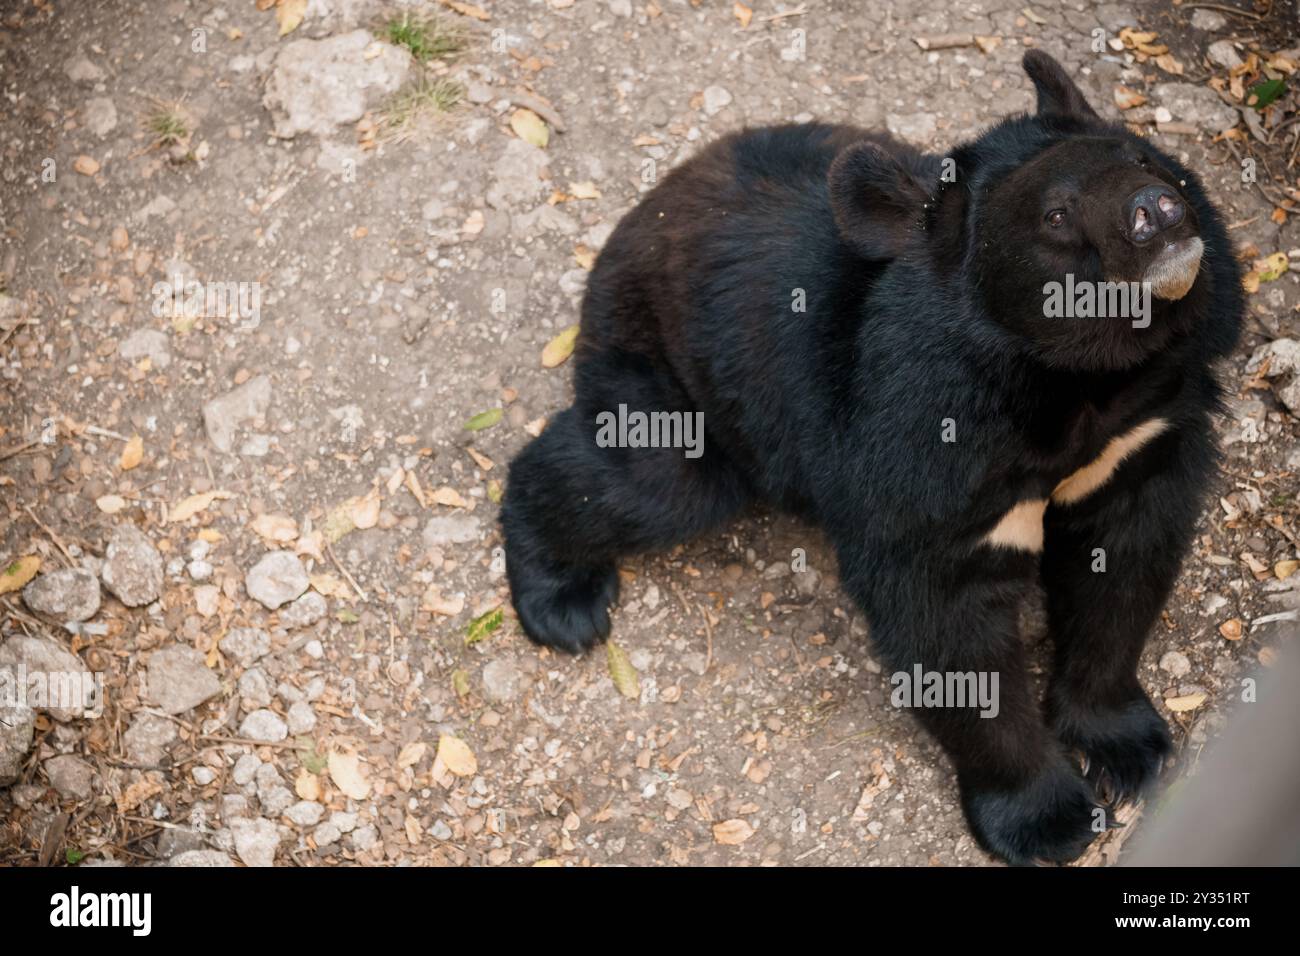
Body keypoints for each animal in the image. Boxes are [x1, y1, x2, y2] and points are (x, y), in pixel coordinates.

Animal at [496, 52, 1237, 868]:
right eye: (1057, 217)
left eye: (1146, 161)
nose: (1157, 211)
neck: (1076, 389)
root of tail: (652, 204)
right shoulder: (917, 458)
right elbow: (946, 628)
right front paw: (1047, 822)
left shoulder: (1143, 433)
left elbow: (1125, 566)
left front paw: (1128, 752)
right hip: (681, 379)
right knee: (641, 480)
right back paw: (564, 602)